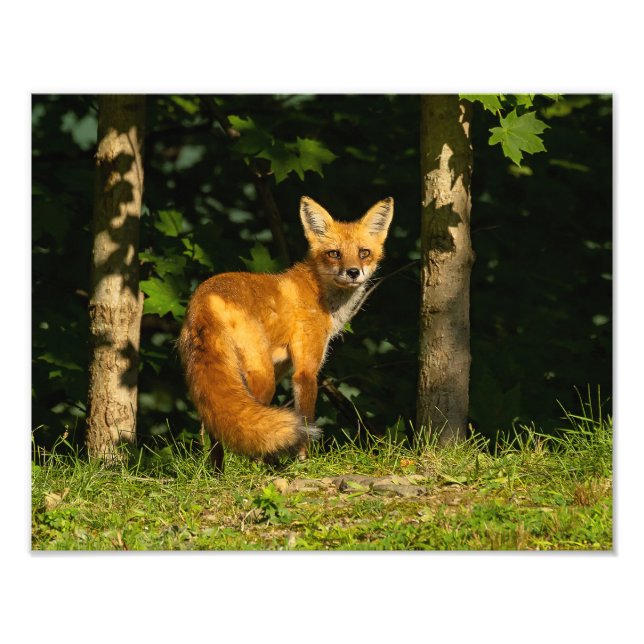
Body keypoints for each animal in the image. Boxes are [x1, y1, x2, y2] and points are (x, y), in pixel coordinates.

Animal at [178, 195, 394, 472]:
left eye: (363, 253)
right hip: (262, 376)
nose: (353, 272)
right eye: (334, 254)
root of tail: (205, 298)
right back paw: (256, 469)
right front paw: (304, 462)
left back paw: (219, 473)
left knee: (216, 426)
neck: (319, 293)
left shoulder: (283, 365)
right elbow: (305, 418)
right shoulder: (305, 372)